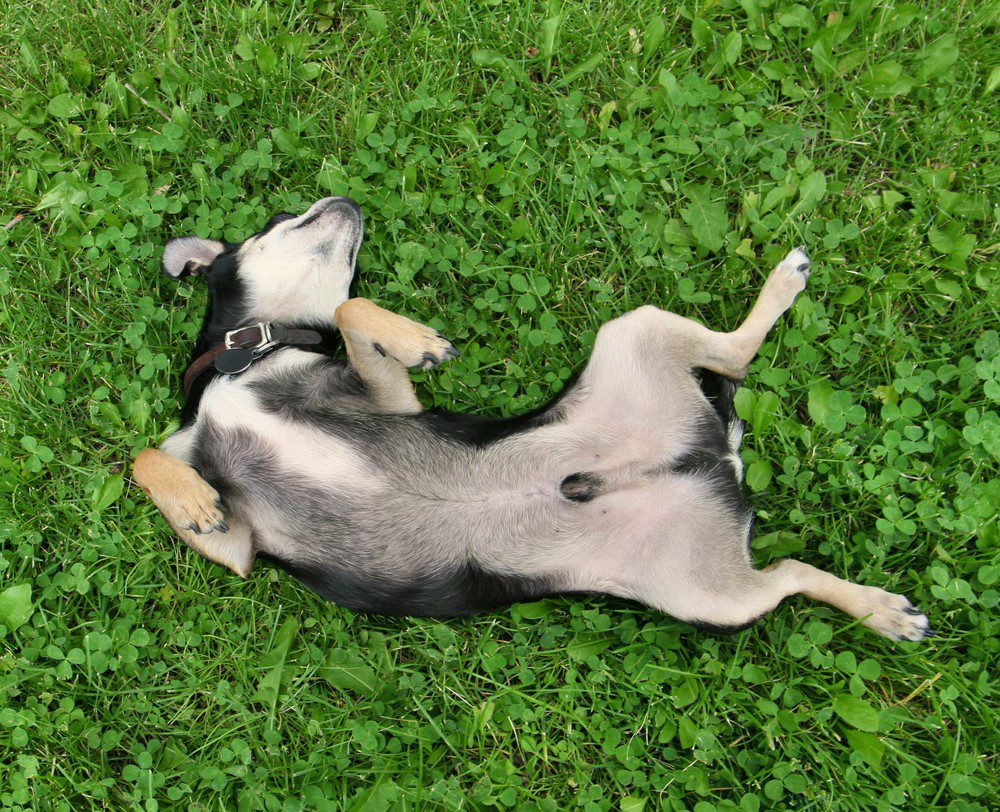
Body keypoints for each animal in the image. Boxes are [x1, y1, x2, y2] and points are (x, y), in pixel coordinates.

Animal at [131, 195, 928, 640]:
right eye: (278, 219)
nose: (346, 197)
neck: (249, 354)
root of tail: (715, 458)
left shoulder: (391, 403)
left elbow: (350, 309)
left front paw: (417, 338)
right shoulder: (238, 549)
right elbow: (148, 458)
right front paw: (192, 498)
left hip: (639, 342)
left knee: (734, 357)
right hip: (708, 592)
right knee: (788, 562)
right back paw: (881, 609)